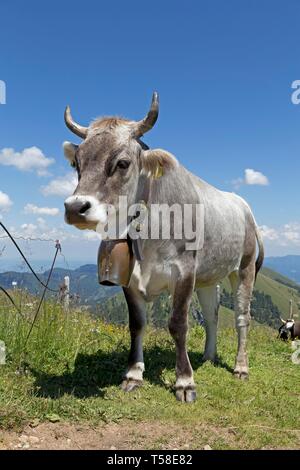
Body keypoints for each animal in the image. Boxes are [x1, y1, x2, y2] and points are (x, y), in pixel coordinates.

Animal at [62, 93, 264, 402]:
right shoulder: (131, 277)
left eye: (122, 163)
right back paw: (209, 356)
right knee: (212, 315)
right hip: (208, 276)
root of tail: (245, 207)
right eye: (77, 163)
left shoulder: (184, 272)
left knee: (242, 317)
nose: (75, 208)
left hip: (244, 267)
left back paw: (241, 367)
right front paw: (133, 374)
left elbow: (178, 324)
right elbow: (137, 324)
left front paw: (185, 382)